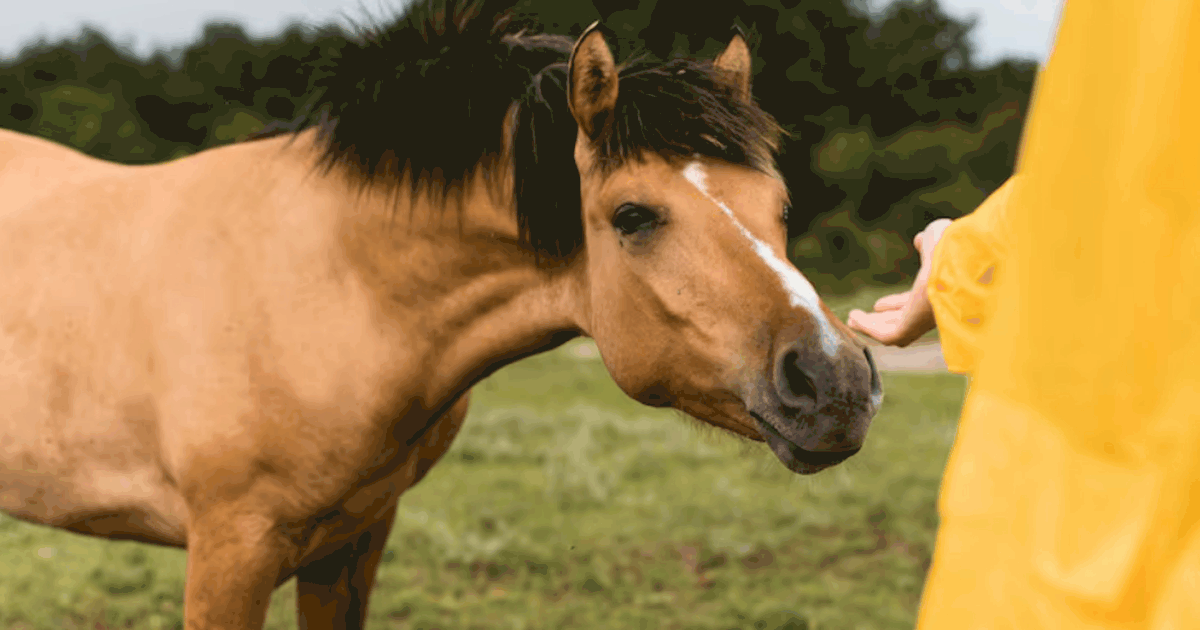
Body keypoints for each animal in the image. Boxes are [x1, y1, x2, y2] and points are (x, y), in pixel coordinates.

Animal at [0, 1, 882, 628]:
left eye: (780, 205)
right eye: (633, 215)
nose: (835, 384)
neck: (335, 283)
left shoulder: (352, 540)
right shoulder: (231, 550)